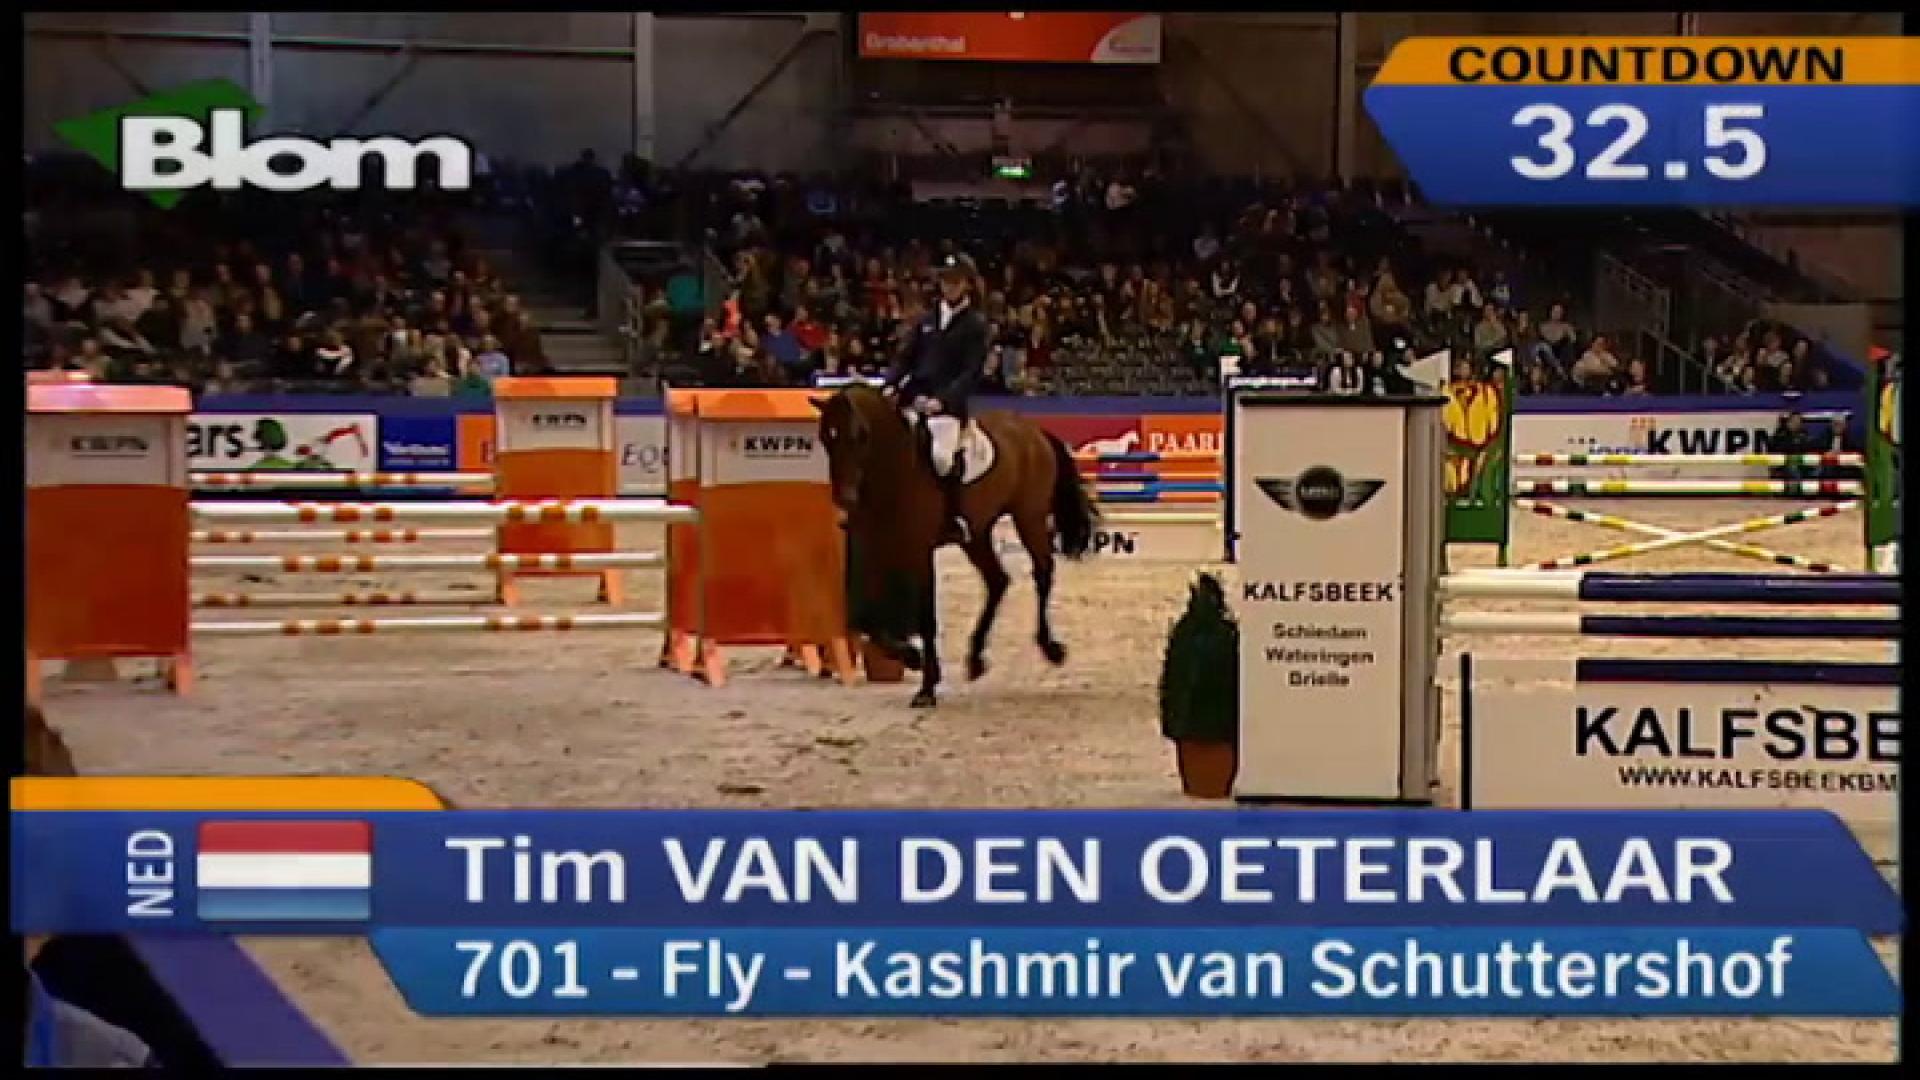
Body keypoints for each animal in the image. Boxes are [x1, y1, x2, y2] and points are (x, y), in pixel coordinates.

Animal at [812, 383, 1098, 707]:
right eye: (826, 437)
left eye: (860, 435)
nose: (845, 498)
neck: (895, 470)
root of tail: (1033, 430)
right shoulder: (876, 549)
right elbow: (864, 619)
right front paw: (911, 657)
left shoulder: (919, 552)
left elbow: (926, 617)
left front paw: (926, 687)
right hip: (978, 534)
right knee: (997, 580)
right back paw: (976, 659)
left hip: (1029, 517)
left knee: (1042, 573)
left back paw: (1050, 648)